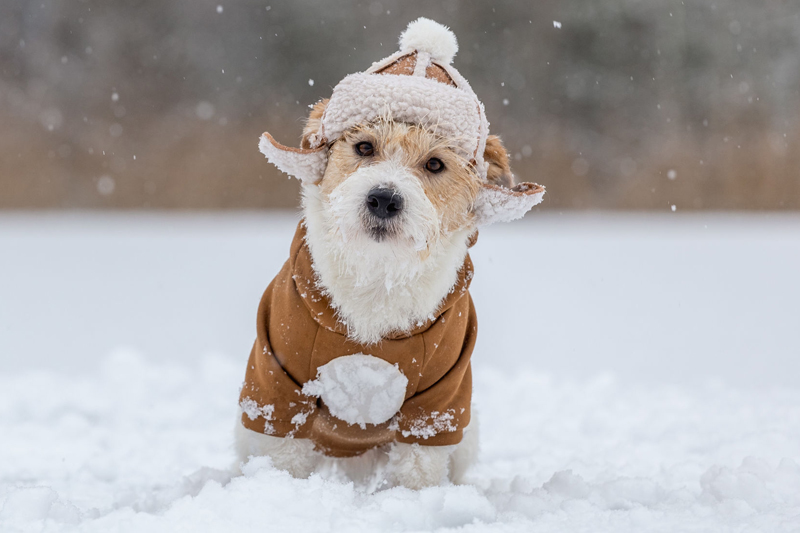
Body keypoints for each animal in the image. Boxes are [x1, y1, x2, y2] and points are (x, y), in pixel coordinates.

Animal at [231, 17, 544, 490]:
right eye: (364, 148)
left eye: (434, 164)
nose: (383, 199)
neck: (378, 275)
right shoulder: (276, 383)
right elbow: (284, 455)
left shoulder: (440, 402)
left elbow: (418, 469)